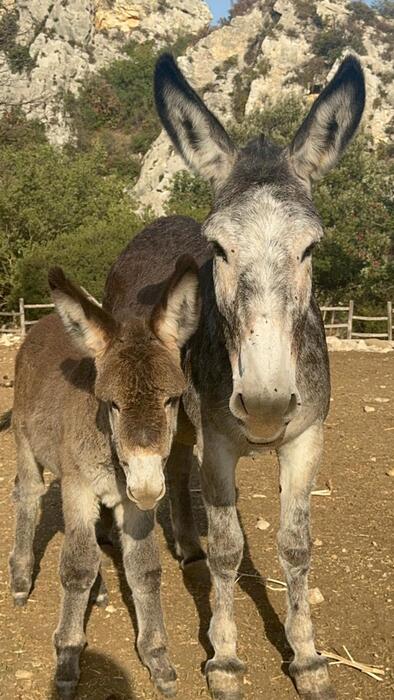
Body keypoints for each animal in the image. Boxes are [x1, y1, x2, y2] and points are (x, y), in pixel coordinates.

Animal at [9, 260, 200, 696]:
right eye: (112, 404)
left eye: (171, 400)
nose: (147, 488)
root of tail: (46, 320)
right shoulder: (78, 488)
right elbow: (77, 566)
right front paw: (66, 658)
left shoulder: (133, 505)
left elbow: (145, 569)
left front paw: (157, 659)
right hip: (26, 443)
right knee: (28, 495)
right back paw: (21, 578)